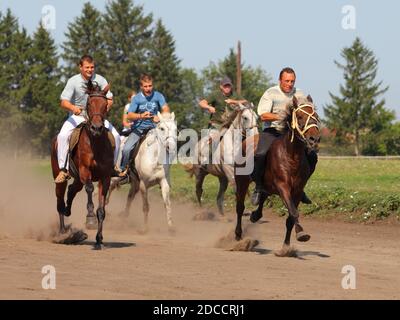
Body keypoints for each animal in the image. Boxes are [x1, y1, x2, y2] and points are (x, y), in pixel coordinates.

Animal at [50, 80, 113, 250]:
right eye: (89, 103)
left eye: (105, 104)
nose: (97, 128)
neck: (96, 144)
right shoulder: (85, 172)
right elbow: (90, 188)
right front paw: (90, 217)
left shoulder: (105, 178)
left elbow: (102, 210)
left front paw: (99, 239)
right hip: (61, 176)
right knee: (59, 201)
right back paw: (63, 234)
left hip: (78, 179)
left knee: (72, 190)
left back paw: (68, 213)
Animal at [234, 95, 322, 255]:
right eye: (300, 116)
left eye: (316, 117)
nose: (314, 139)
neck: (292, 156)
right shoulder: (283, 186)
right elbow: (293, 212)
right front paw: (301, 233)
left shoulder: (297, 191)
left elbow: (290, 218)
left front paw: (286, 247)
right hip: (241, 181)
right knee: (240, 207)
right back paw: (238, 237)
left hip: (267, 186)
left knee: (262, 197)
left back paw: (255, 215)